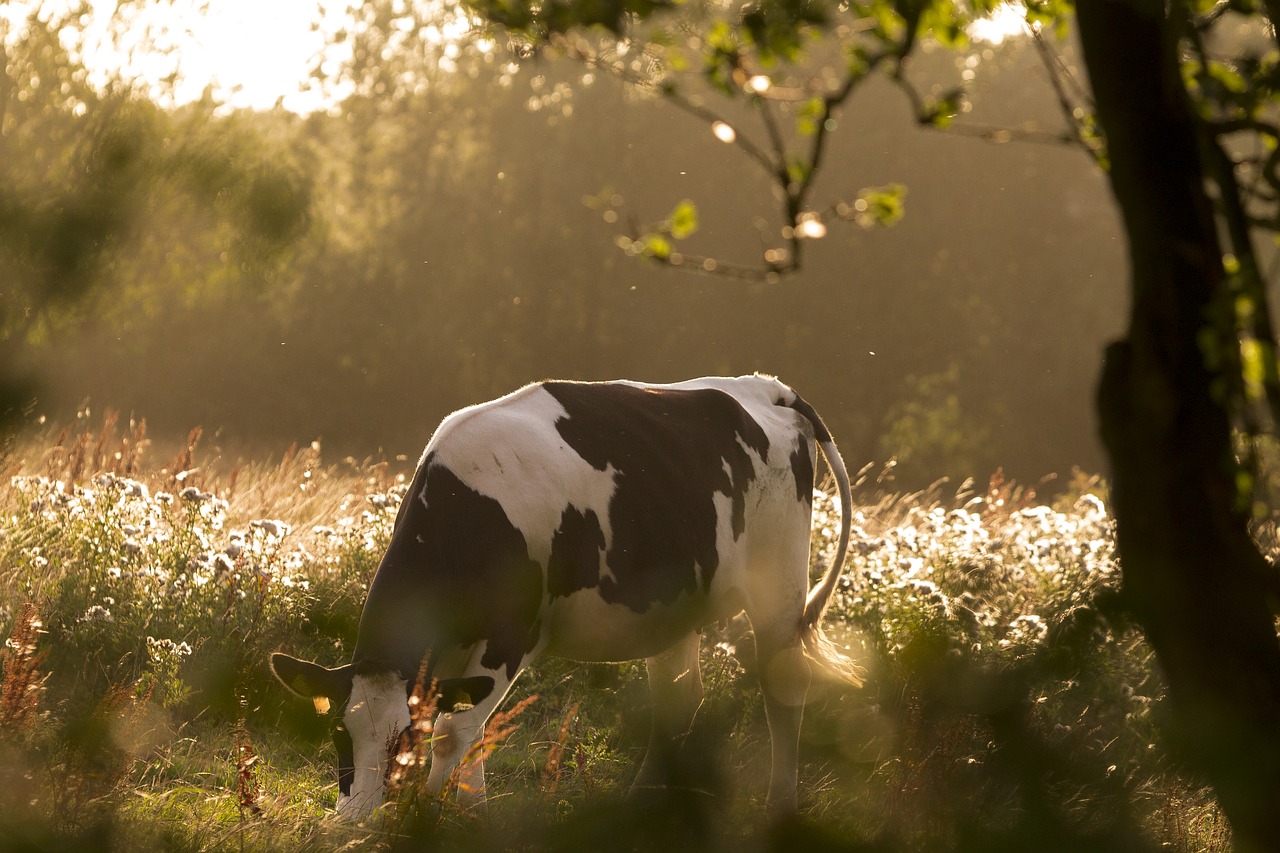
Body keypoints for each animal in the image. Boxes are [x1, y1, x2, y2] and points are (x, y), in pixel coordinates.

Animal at [276, 371, 865, 819]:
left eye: (403, 743)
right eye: (338, 735)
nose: (356, 823)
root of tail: (765, 387)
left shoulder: (509, 636)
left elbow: (454, 731)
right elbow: (466, 732)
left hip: (779, 588)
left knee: (782, 690)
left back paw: (779, 807)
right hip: (674, 608)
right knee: (679, 699)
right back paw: (644, 806)